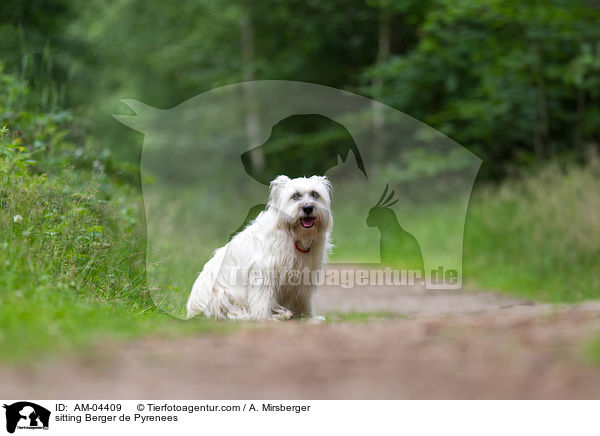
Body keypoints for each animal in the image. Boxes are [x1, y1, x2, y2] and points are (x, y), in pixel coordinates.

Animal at [186, 175, 332, 322]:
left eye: (315, 194)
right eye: (295, 196)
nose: (308, 208)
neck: (294, 236)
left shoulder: (304, 277)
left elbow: (303, 300)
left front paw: (309, 317)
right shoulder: (264, 272)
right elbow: (264, 299)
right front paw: (265, 317)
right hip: (223, 296)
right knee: (233, 312)